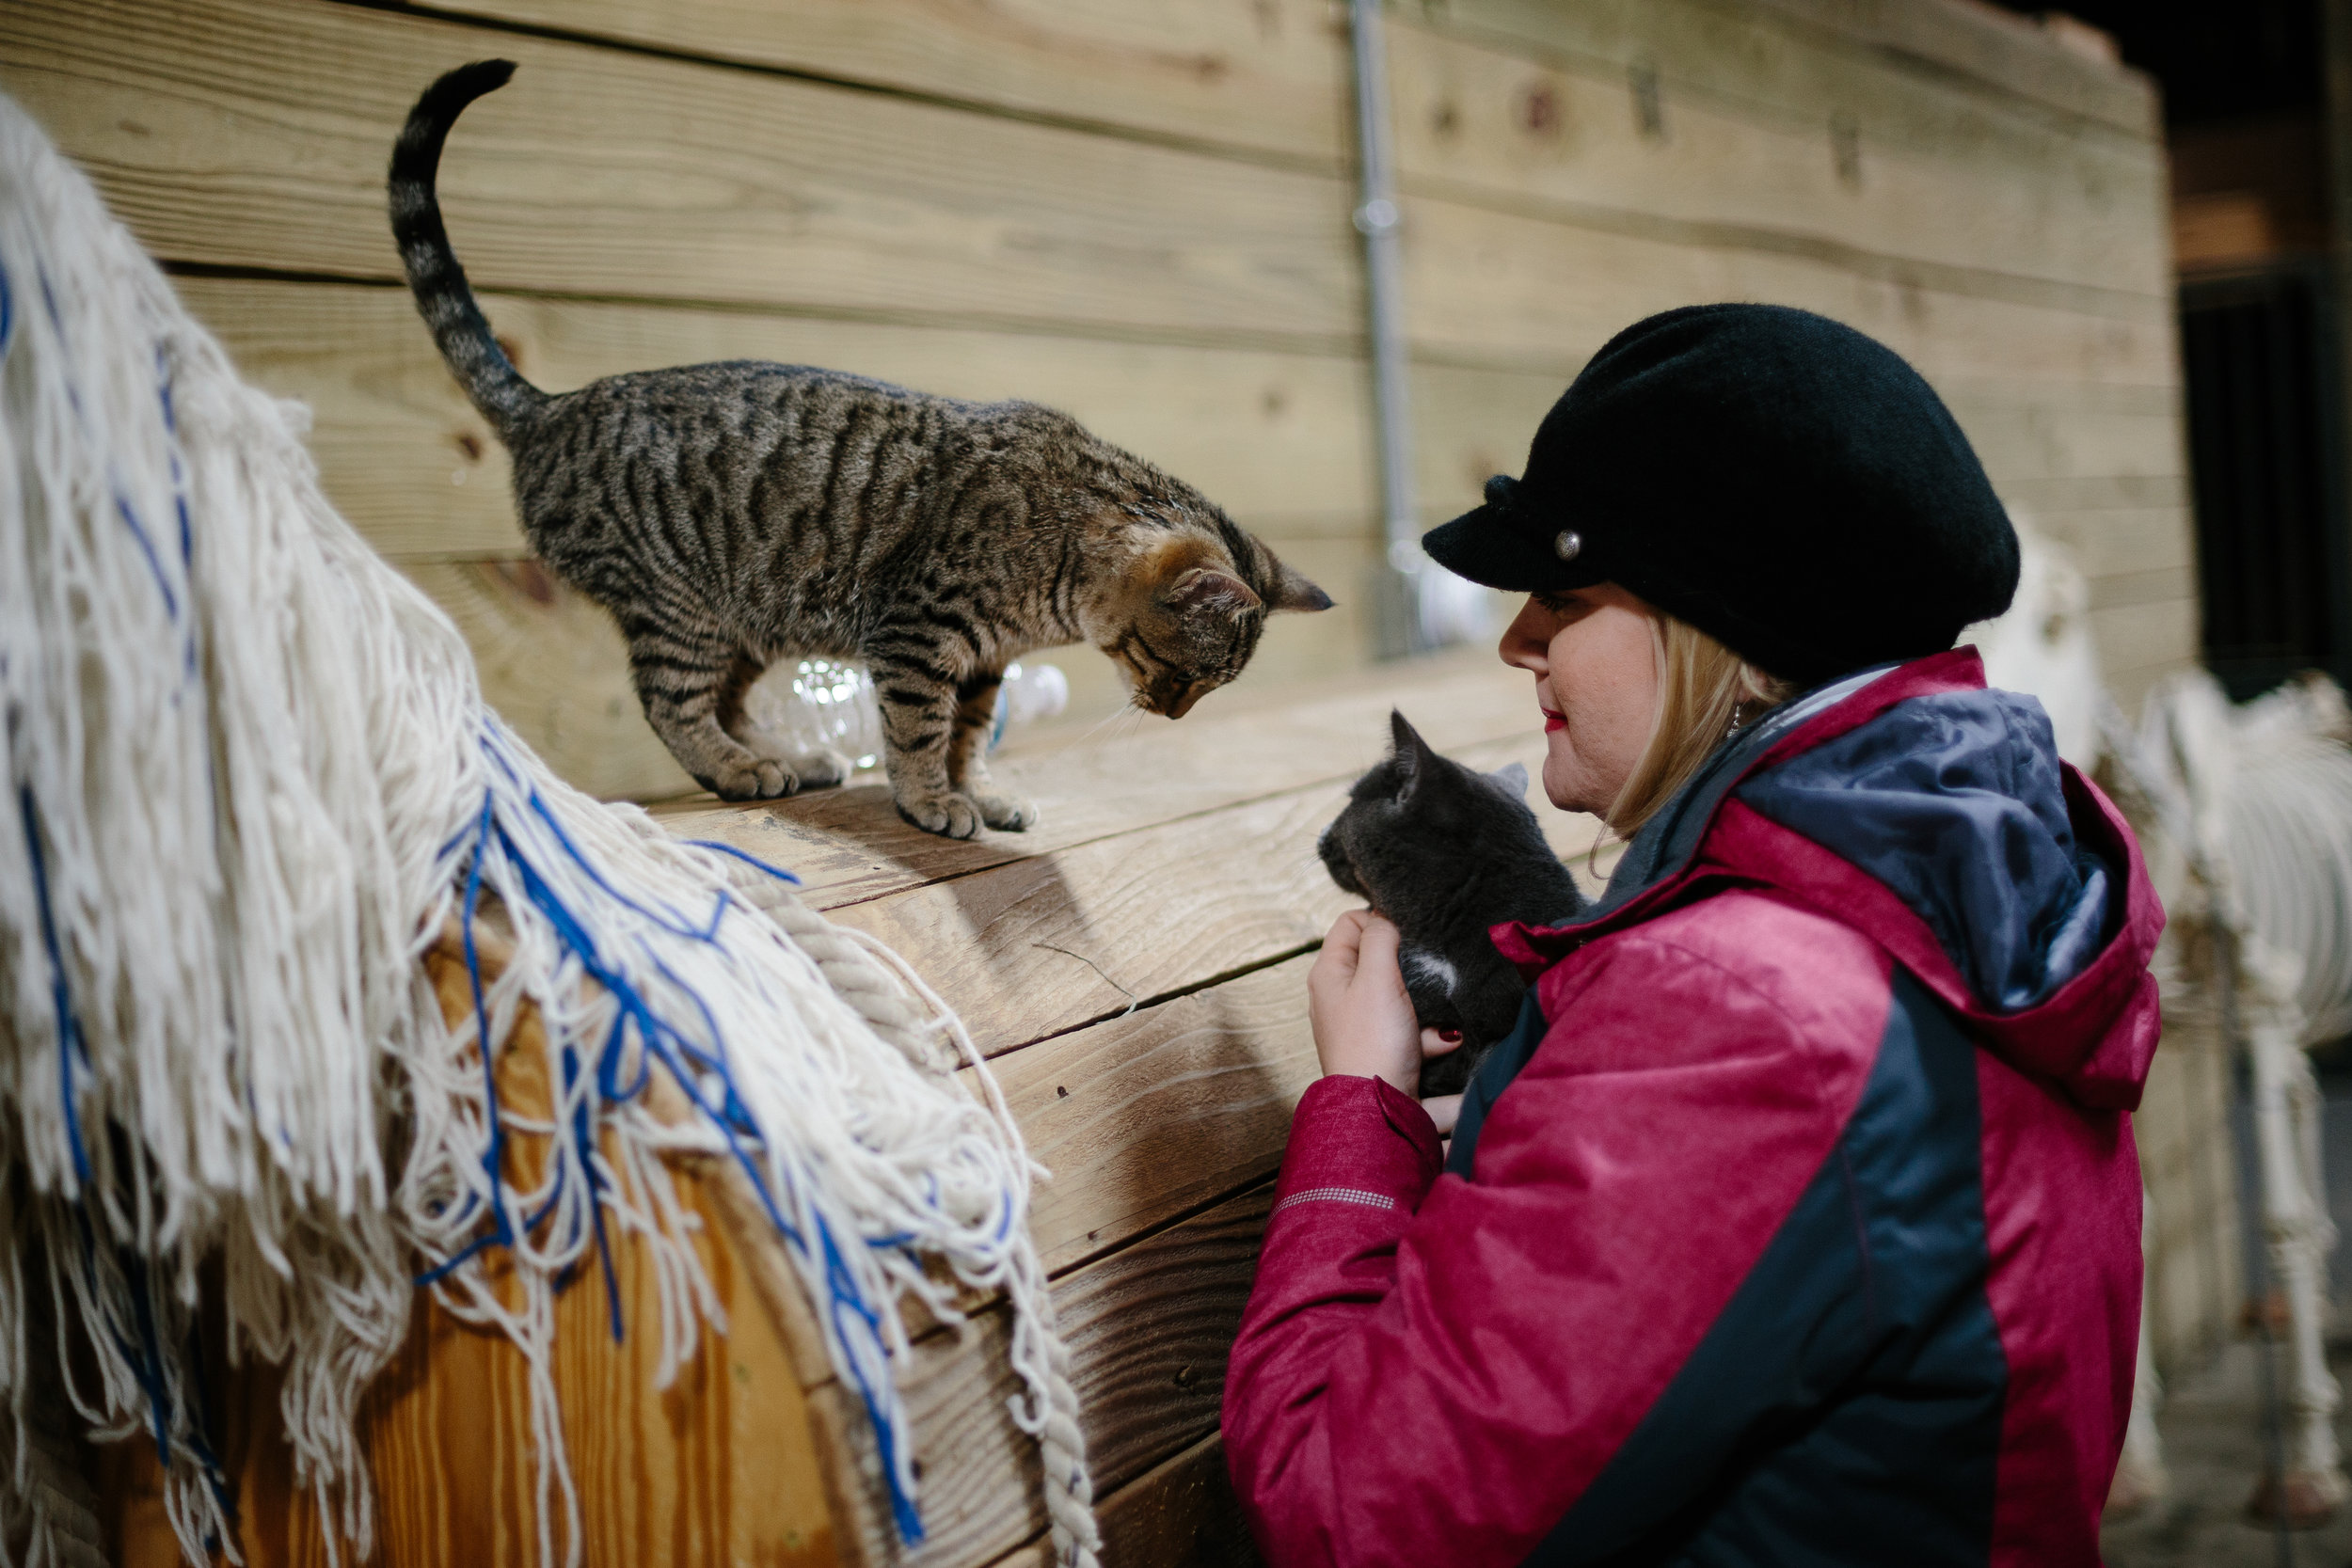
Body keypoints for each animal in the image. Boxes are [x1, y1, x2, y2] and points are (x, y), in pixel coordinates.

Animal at [395, 65, 1336, 841]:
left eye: (1210, 688)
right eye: (1180, 670)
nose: (1174, 715)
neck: (1061, 561)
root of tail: (551, 408)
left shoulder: (985, 663)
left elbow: (967, 737)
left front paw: (979, 792)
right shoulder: (918, 635)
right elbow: (920, 732)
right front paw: (931, 803)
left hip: (748, 616)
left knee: (727, 700)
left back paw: (784, 756)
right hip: (680, 604)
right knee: (672, 705)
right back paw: (740, 768)